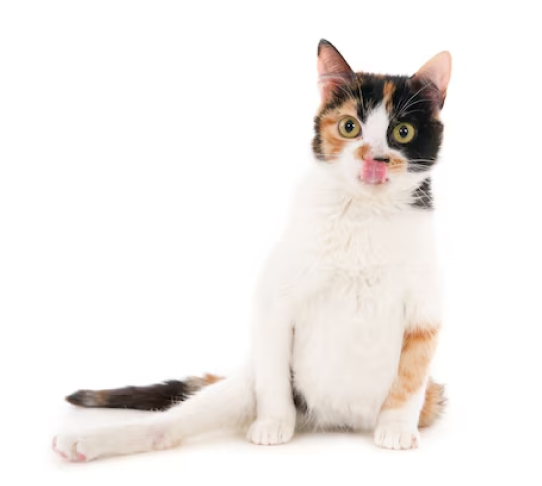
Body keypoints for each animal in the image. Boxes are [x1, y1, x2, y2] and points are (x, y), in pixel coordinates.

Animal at [52, 39, 450, 462]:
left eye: (403, 132)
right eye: (349, 127)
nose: (375, 160)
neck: (363, 212)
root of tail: (335, 419)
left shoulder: (425, 313)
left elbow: (410, 377)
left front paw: (396, 430)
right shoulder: (275, 302)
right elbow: (274, 371)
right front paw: (273, 424)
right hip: (243, 385)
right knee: (169, 425)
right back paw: (85, 442)